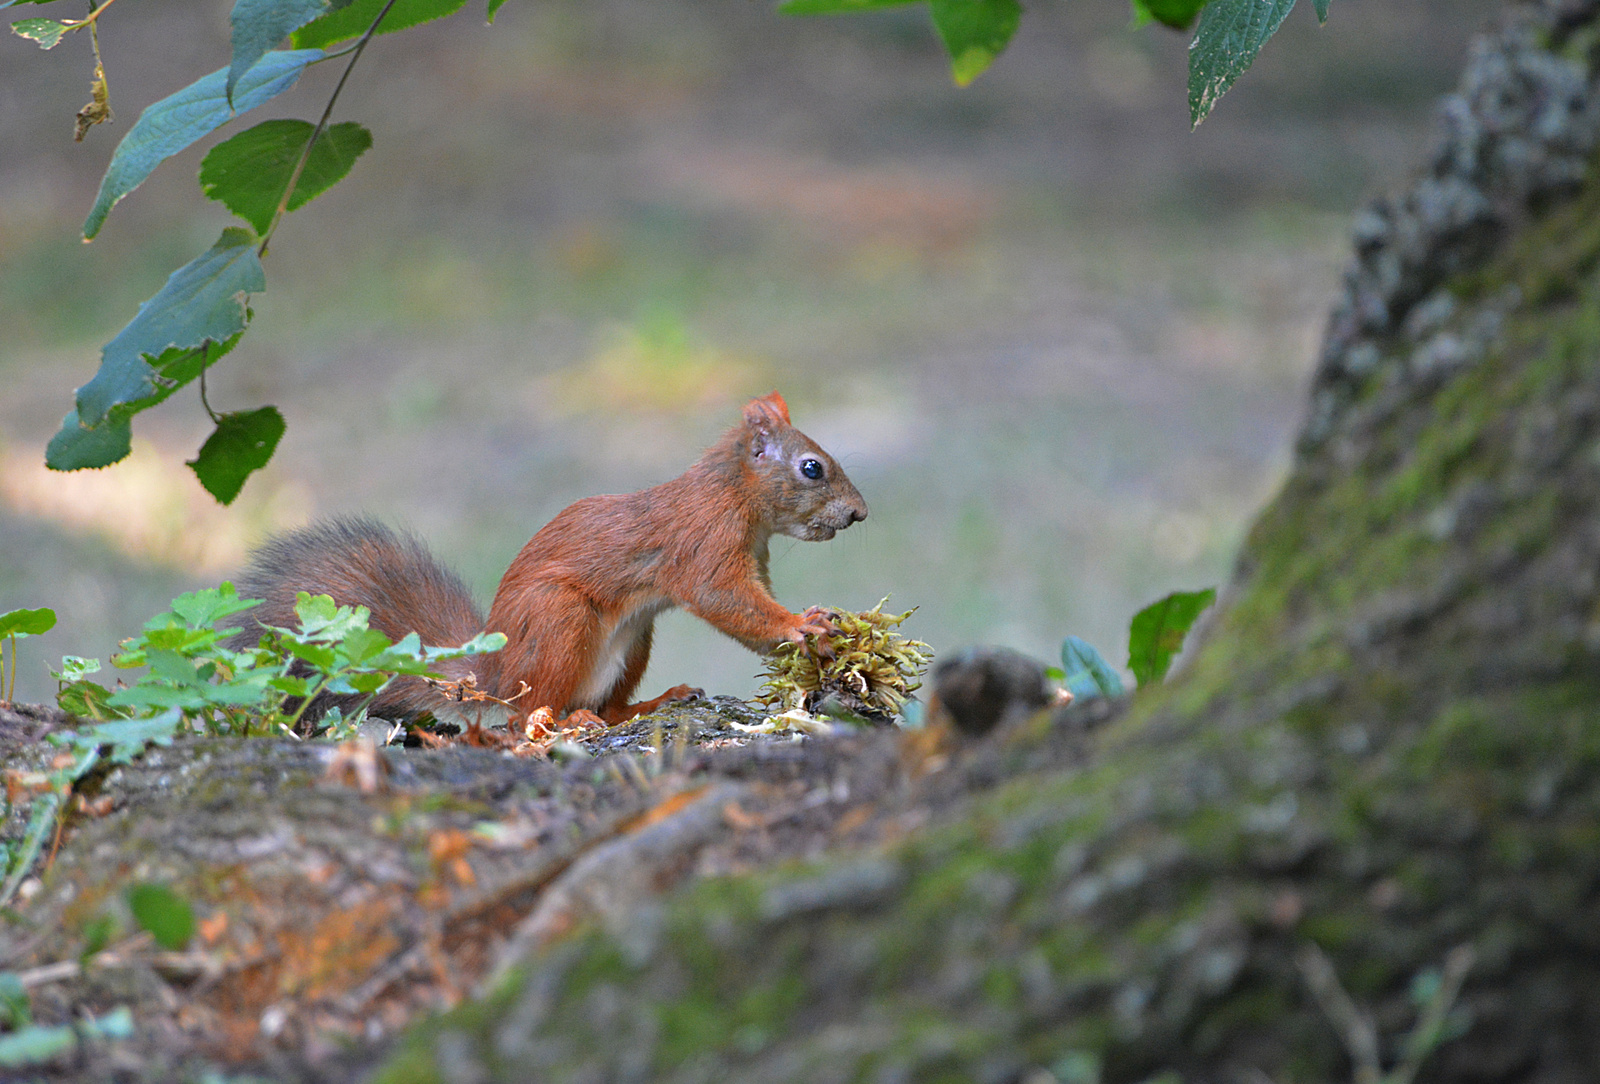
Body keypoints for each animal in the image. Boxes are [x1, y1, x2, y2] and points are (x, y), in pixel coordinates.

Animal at [228, 393, 864, 729]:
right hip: (560, 620)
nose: (859, 514)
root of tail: (493, 681)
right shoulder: (705, 543)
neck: (732, 493)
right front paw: (802, 626)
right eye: (812, 468)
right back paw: (564, 721)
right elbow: (729, 603)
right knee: (528, 716)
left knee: (608, 707)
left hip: (634, 638)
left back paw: (651, 703)